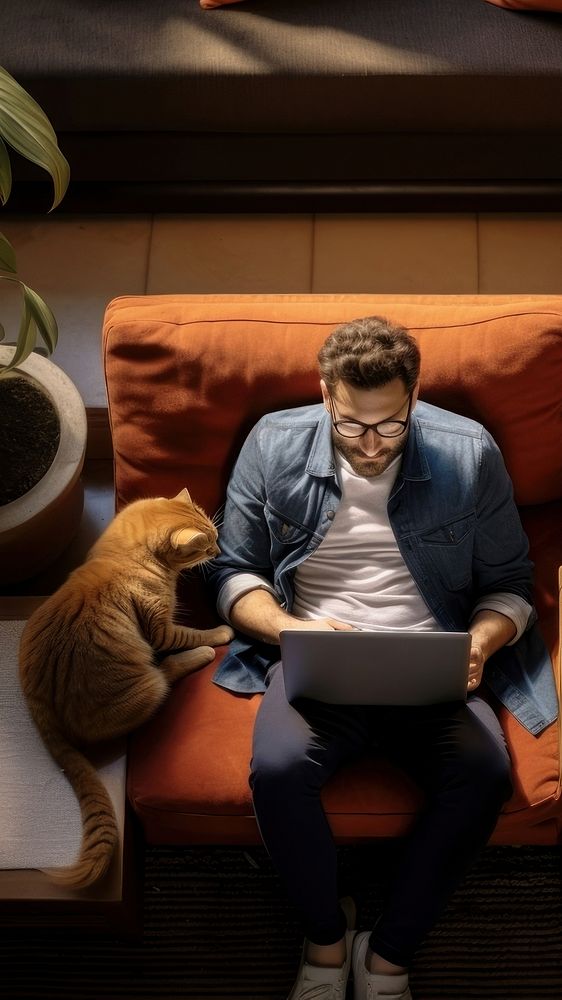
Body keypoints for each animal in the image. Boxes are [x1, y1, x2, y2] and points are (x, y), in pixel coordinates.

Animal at [18, 488, 232, 888]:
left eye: (215, 537)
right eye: (207, 543)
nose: (218, 549)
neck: (125, 550)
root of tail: (42, 706)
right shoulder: (162, 629)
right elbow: (193, 633)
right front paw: (218, 634)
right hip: (151, 684)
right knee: (167, 671)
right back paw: (197, 657)